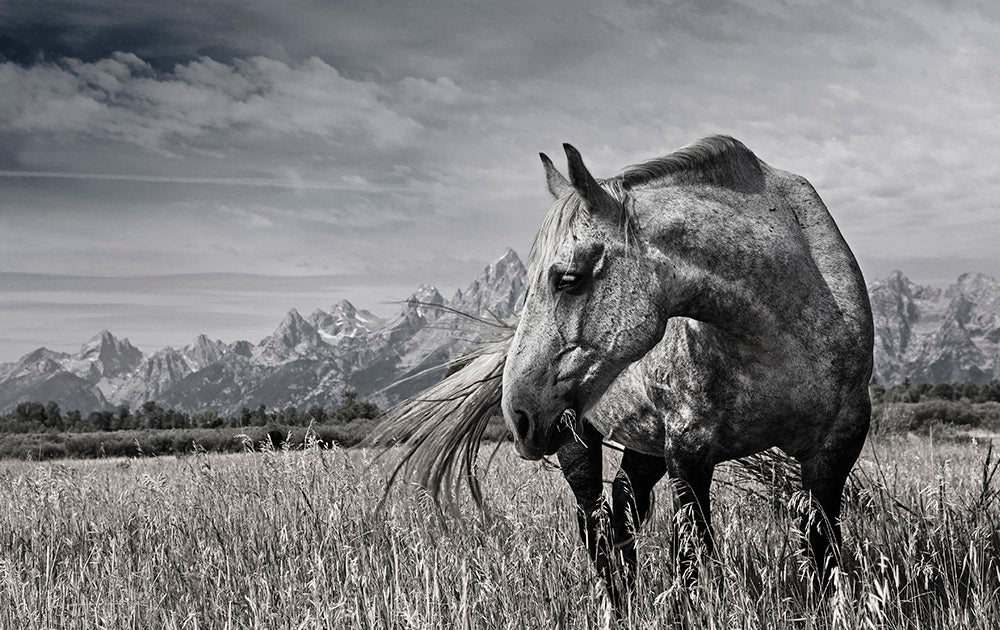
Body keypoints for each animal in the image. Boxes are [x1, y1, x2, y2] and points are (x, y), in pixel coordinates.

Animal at [372, 136, 872, 608]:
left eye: (567, 278)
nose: (518, 416)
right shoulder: (689, 449)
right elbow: (690, 554)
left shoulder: (836, 447)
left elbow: (821, 547)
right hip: (576, 440)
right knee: (595, 523)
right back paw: (617, 600)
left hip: (644, 445)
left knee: (624, 506)